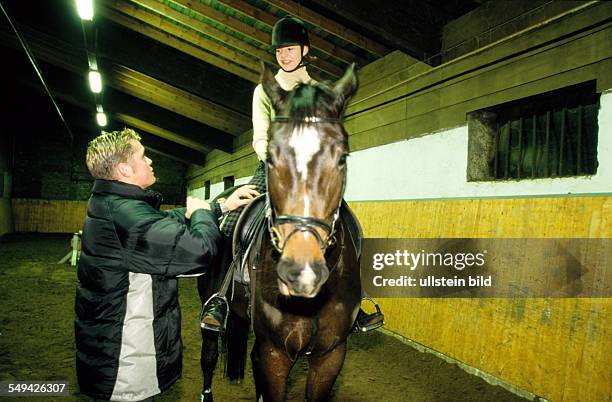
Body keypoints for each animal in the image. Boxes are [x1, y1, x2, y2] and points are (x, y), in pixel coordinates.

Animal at [197, 63, 364, 402]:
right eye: (271, 157)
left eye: (342, 157)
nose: (302, 273)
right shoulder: (275, 352)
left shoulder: (331, 355)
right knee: (208, 355)